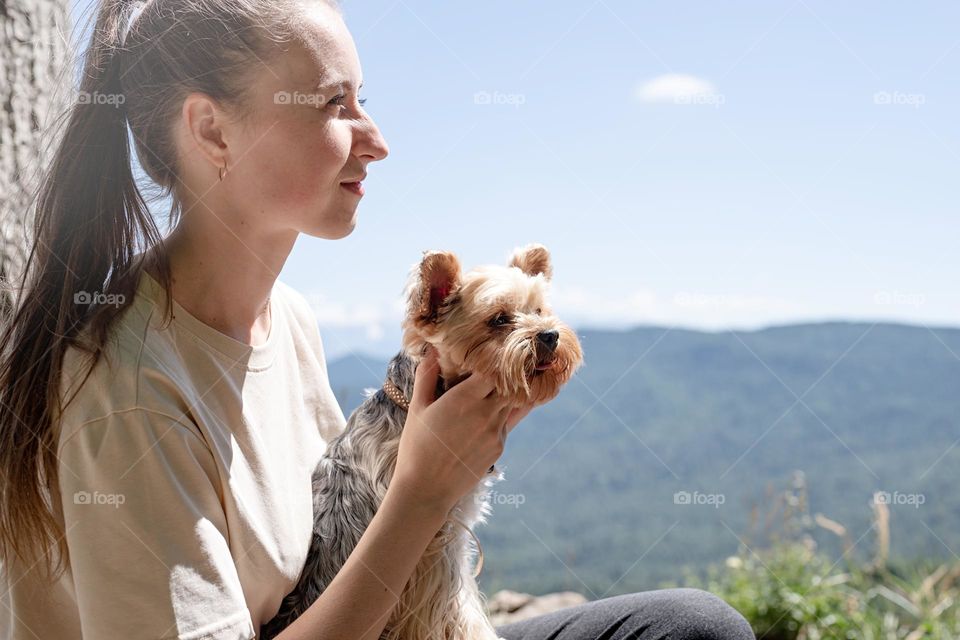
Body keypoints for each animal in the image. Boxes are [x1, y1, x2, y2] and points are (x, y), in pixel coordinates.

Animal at [258, 244, 580, 640]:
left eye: (539, 310)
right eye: (499, 319)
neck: (410, 403)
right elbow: (459, 607)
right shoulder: (434, 547)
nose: (549, 334)